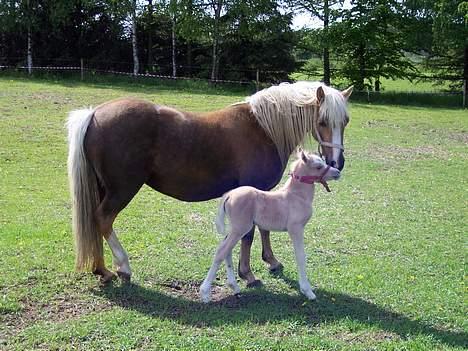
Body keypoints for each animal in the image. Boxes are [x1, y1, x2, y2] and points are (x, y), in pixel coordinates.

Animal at [65, 82, 352, 286]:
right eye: (322, 121)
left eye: (345, 121)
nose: (337, 162)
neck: (263, 129)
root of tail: (95, 113)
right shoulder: (251, 190)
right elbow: (249, 235)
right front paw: (248, 274)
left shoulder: (261, 193)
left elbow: (264, 229)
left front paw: (271, 261)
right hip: (121, 190)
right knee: (103, 219)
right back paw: (122, 266)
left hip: (103, 188)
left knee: (95, 222)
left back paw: (101, 269)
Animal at [200, 151, 340, 302]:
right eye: (318, 167)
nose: (338, 172)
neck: (296, 196)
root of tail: (229, 195)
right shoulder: (296, 229)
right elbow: (301, 256)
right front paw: (307, 291)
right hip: (240, 228)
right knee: (222, 251)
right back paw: (205, 293)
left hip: (234, 228)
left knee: (226, 250)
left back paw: (234, 287)